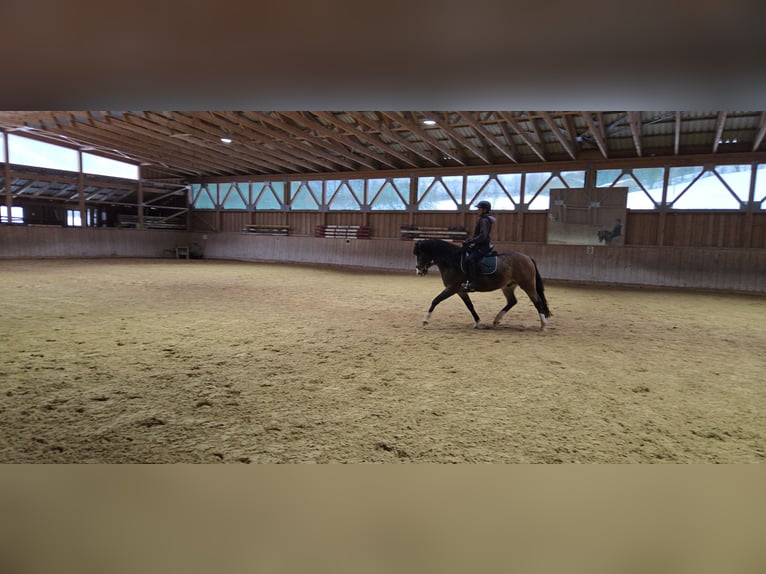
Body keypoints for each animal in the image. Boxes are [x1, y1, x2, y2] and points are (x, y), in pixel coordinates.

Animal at [413, 239, 552, 330]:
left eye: (420, 254)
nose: (419, 271)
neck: (452, 260)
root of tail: (527, 257)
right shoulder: (460, 290)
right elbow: (469, 305)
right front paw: (477, 322)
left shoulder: (452, 288)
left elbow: (436, 300)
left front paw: (425, 320)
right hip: (508, 286)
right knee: (512, 301)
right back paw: (496, 320)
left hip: (527, 285)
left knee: (537, 301)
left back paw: (543, 325)